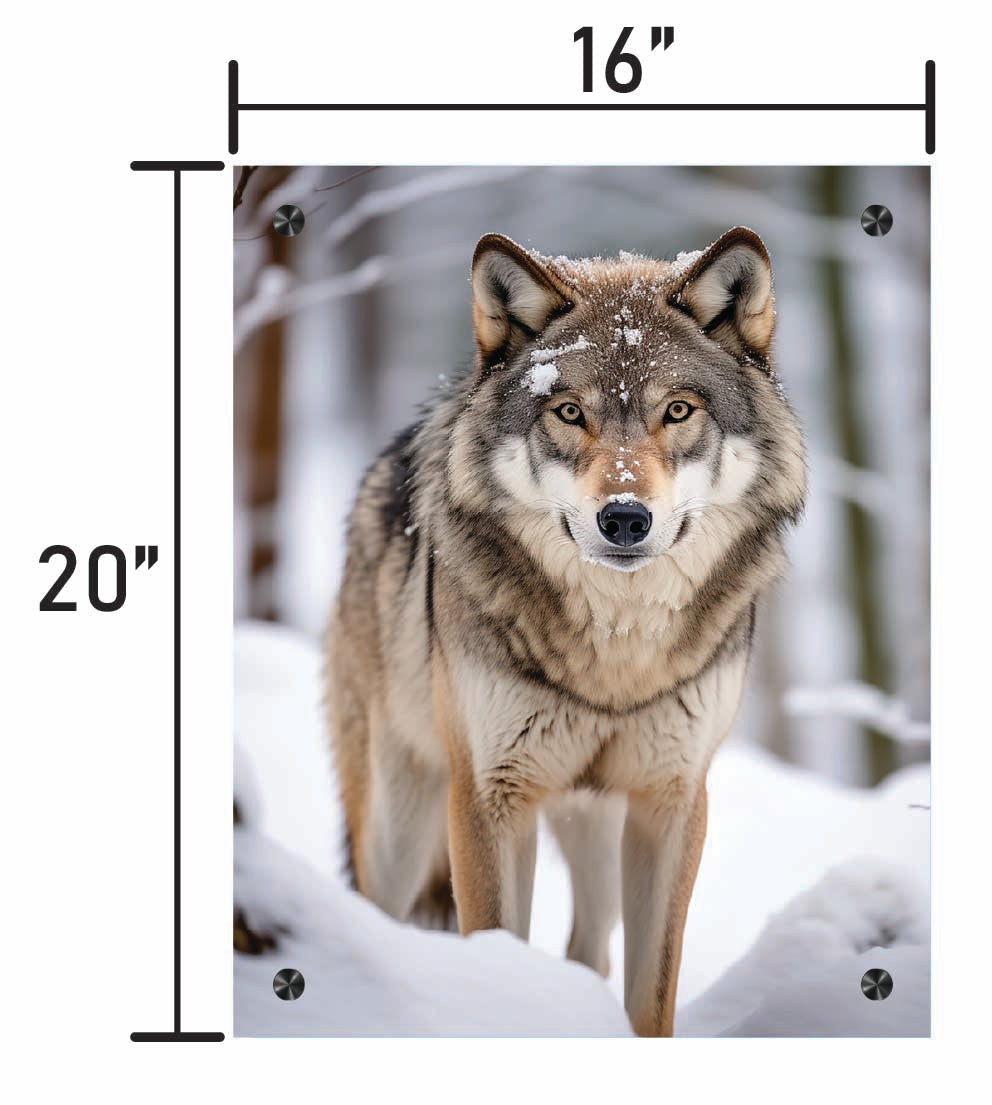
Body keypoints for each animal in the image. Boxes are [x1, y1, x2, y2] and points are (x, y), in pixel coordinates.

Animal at [325, 226, 806, 1036]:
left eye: (679, 411)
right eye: (571, 413)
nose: (625, 518)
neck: (615, 652)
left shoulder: (672, 800)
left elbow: (651, 994)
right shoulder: (488, 796)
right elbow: (495, 951)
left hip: (597, 829)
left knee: (589, 951)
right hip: (399, 826)